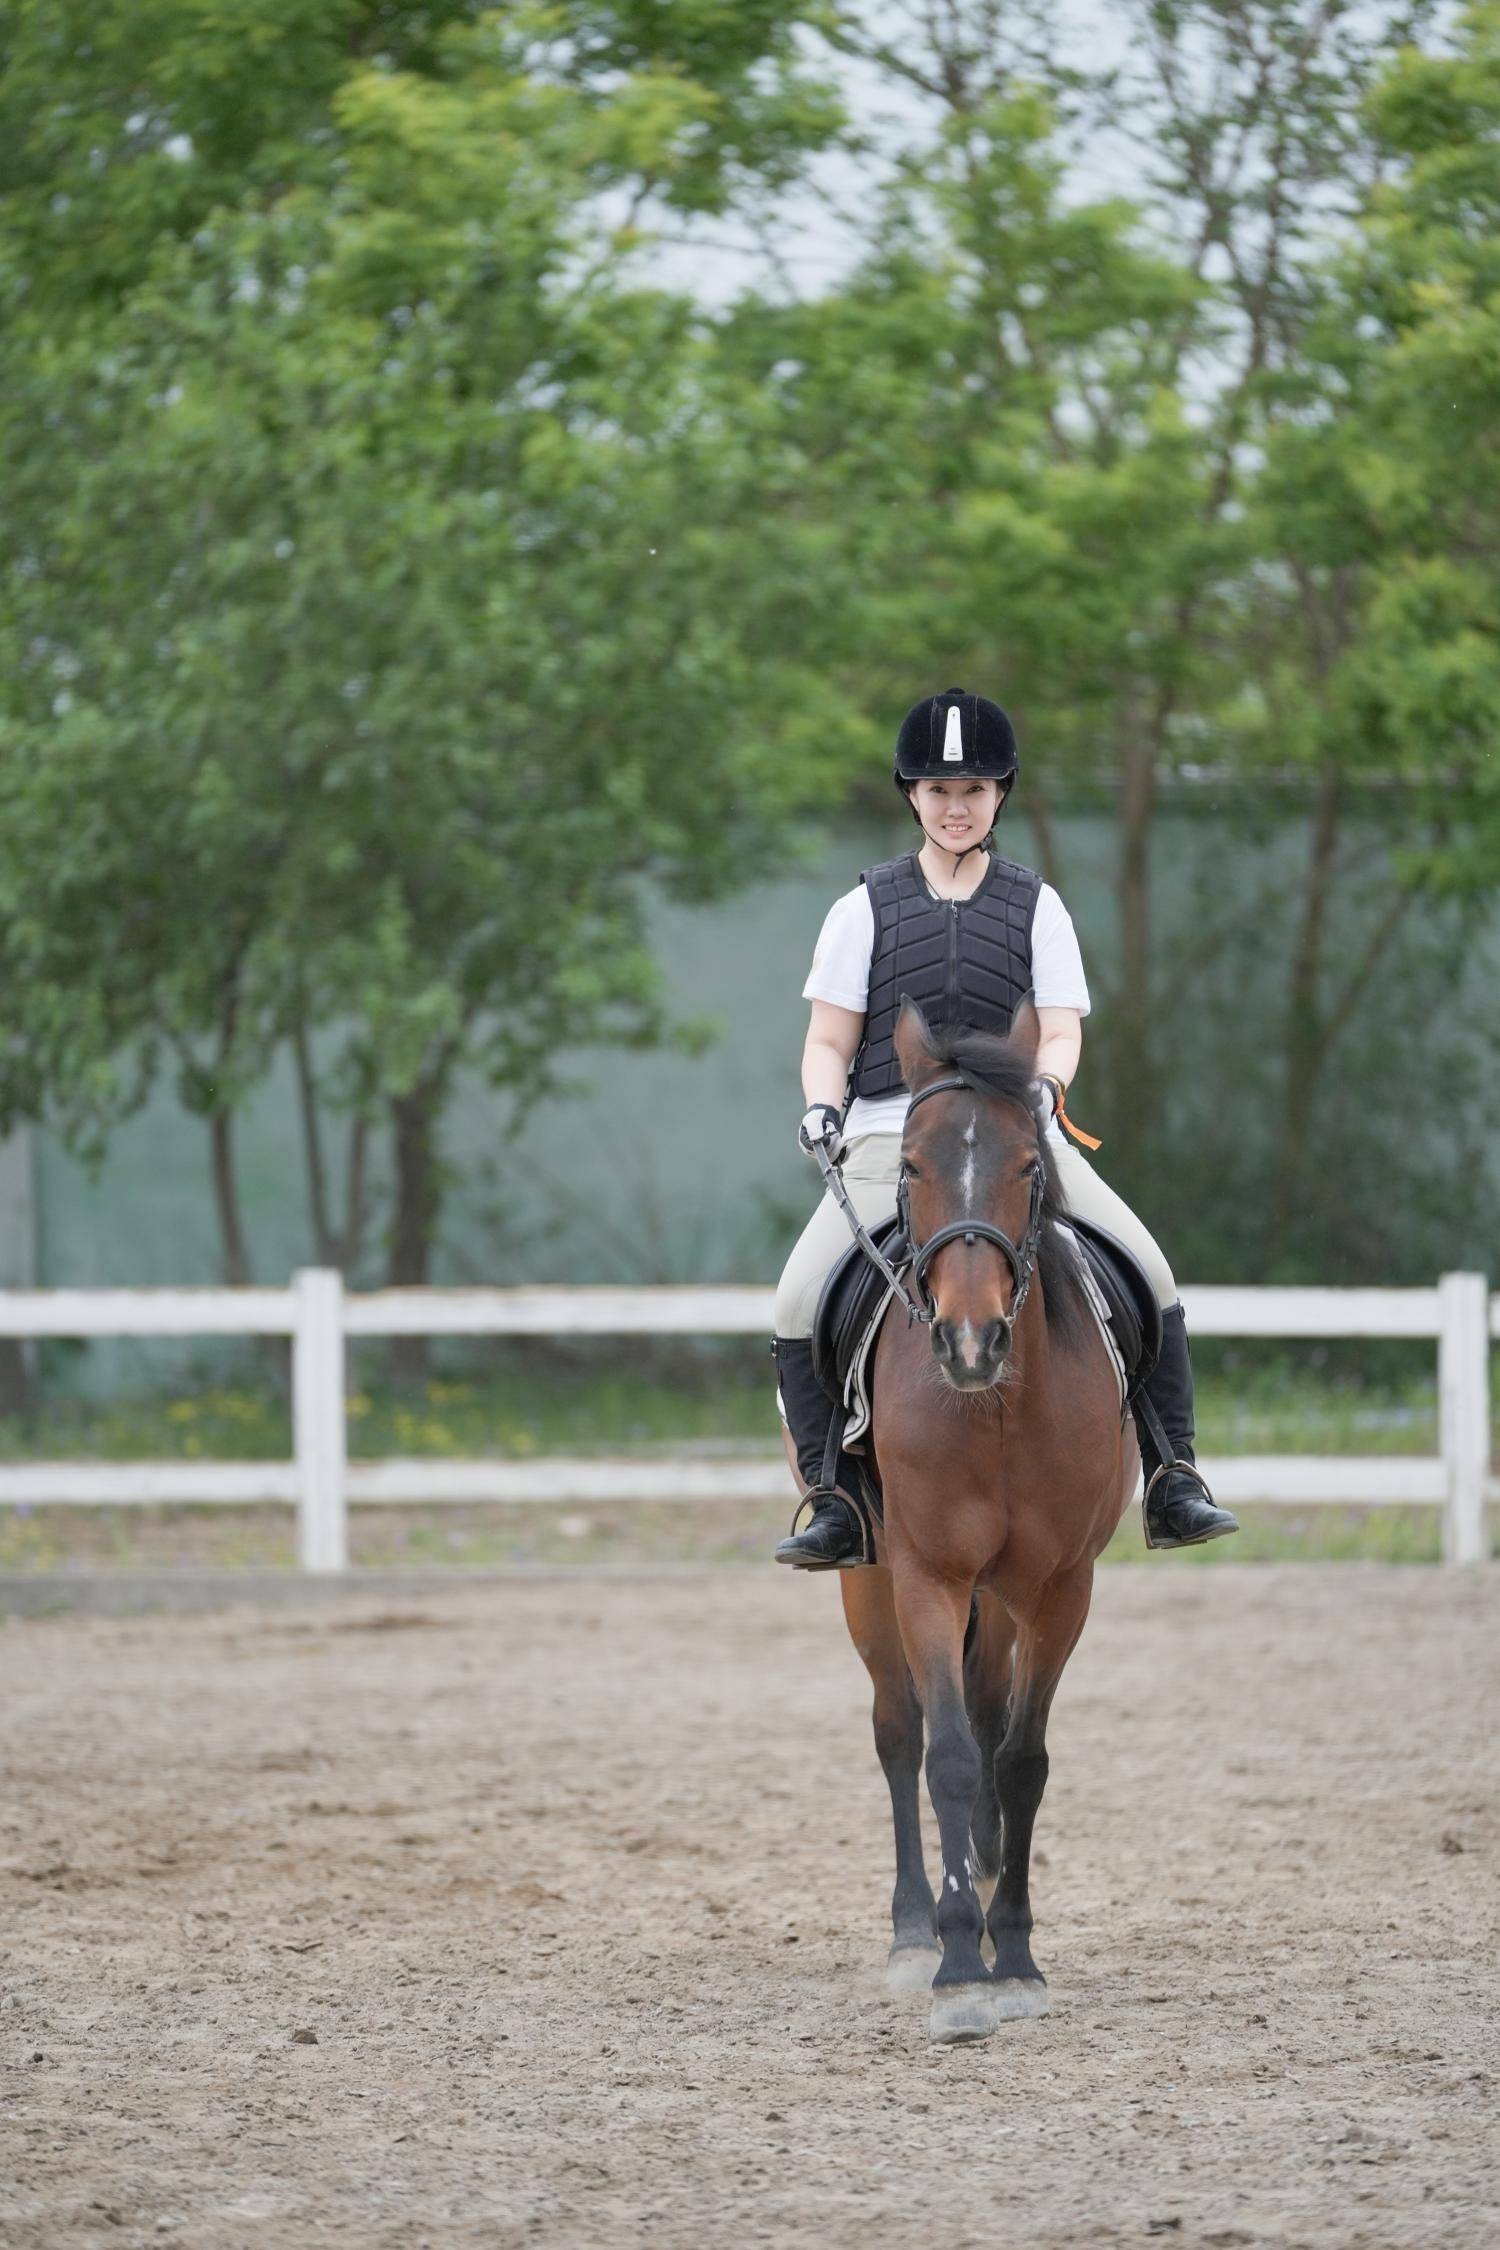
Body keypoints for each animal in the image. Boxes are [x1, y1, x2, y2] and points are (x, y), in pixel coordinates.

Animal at [788, 997, 1136, 2045]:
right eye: (909, 1166)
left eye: (1027, 1164)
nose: (970, 1342)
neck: (995, 1409)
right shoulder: (927, 1576)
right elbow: (944, 1756)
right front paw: (954, 1971)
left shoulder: (1061, 1587)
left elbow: (1017, 1760)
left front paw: (1011, 1955)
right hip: (868, 1583)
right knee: (899, 1731)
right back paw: (913, 1933)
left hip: (1007, 1599)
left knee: (987, 1720)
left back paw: (979, 1889)